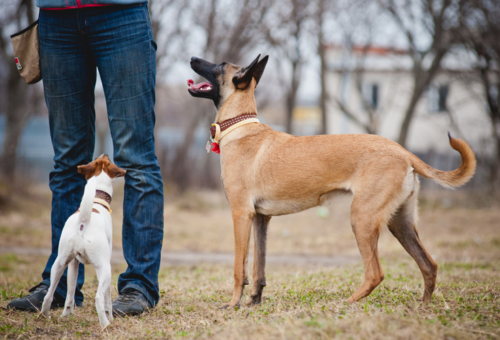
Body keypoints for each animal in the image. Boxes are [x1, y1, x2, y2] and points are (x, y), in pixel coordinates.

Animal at [41, 155, 127, 330]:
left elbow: (70, 294)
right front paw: (110, 316)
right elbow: (108, 299)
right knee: (99, 298)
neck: (96, 201)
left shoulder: (73, 264)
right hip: (104, 269)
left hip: (59, 264)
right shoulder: (106, 265)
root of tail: (84, 222)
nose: (105, 154)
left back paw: (46, 316)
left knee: (49, 294)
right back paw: (105, 324)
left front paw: (66, 315)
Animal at [188, 53, 476, 308]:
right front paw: (254, 302)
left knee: (375, 273)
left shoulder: (241, 214)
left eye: (220, 65)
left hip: (362, 219)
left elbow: (239, 268)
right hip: (400, 224)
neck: (240, 125)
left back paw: (347, 303)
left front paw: (233, 304)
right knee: (429, 265)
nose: (192, 58)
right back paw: (423, 307)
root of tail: (404, 152)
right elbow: (260, 268)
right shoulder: (261, 218)